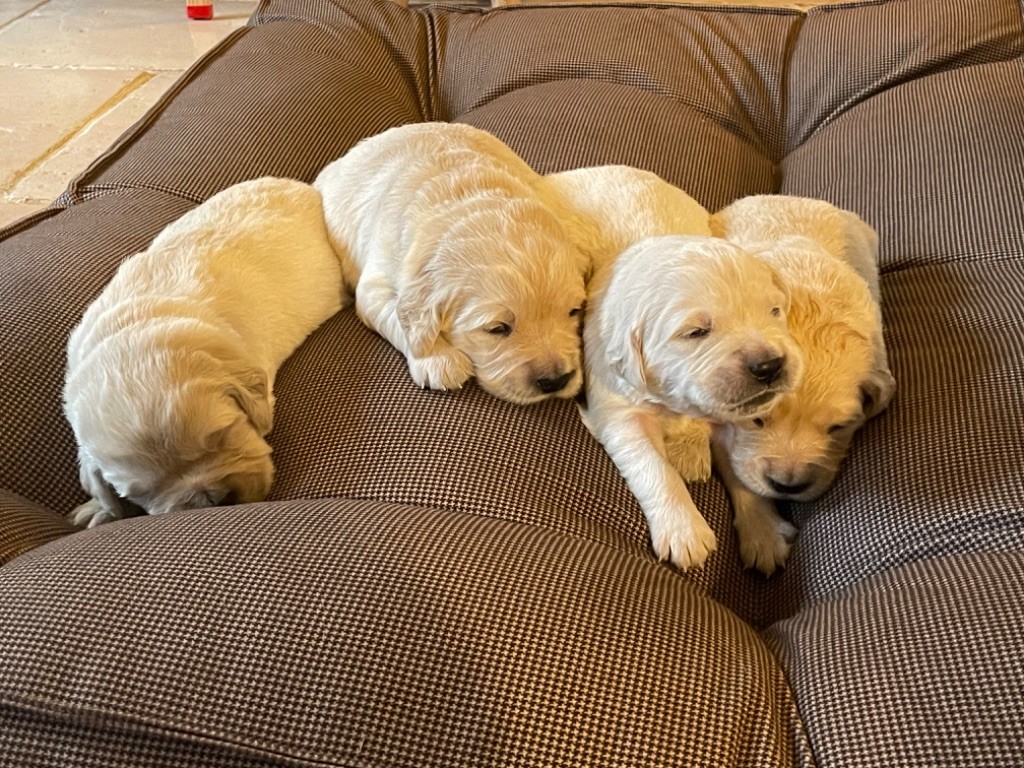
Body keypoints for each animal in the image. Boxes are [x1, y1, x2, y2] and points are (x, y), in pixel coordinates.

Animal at [64, 177, 344, 528]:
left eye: (223, 435)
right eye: (143, 492)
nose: (212, 500)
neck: (133, 328)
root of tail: (302, 186)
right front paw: (98, 508)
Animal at [311, 123, 589, 405]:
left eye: (574, 311)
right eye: (497, 329)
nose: (556, 381)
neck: (468, 198)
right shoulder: (374, 283)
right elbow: (396, 314)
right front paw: (439, 361)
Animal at [548, 166, 802, 573]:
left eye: (775, 311)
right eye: (696, 332)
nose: (769, 365)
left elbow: (743, 474)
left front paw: (764, 534)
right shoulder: (620, 409)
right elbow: (653, 466)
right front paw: (685, 531)